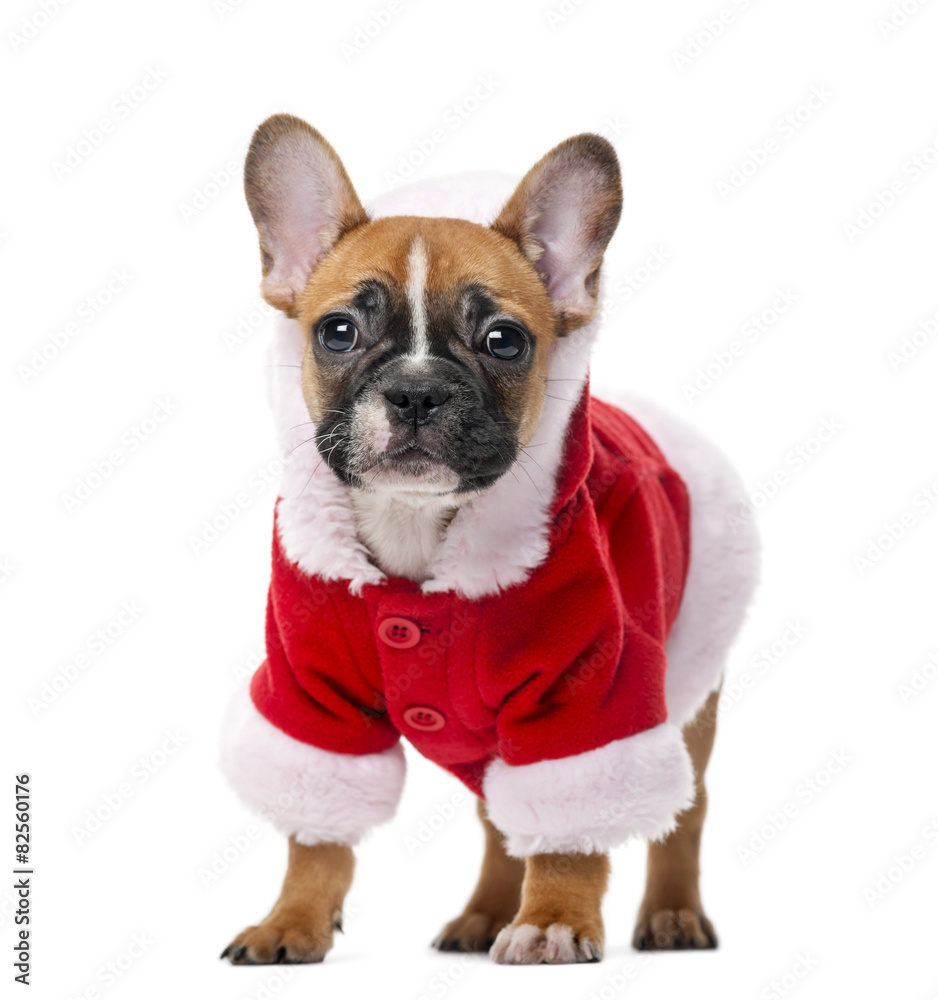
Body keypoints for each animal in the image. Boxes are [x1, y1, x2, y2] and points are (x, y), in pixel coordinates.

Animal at [221, 113, 760, 964]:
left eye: (505, 341)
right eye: (337, 332)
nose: (415, 390)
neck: (416, 530)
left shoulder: (585, 701)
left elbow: (572, 828)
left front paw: (556, 918)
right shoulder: (312, 698)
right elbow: (317, 830)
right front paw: (292, 920)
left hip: (687, 694)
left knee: (683, 814)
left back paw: (670, 914)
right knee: (499, 821)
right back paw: (481, 915)